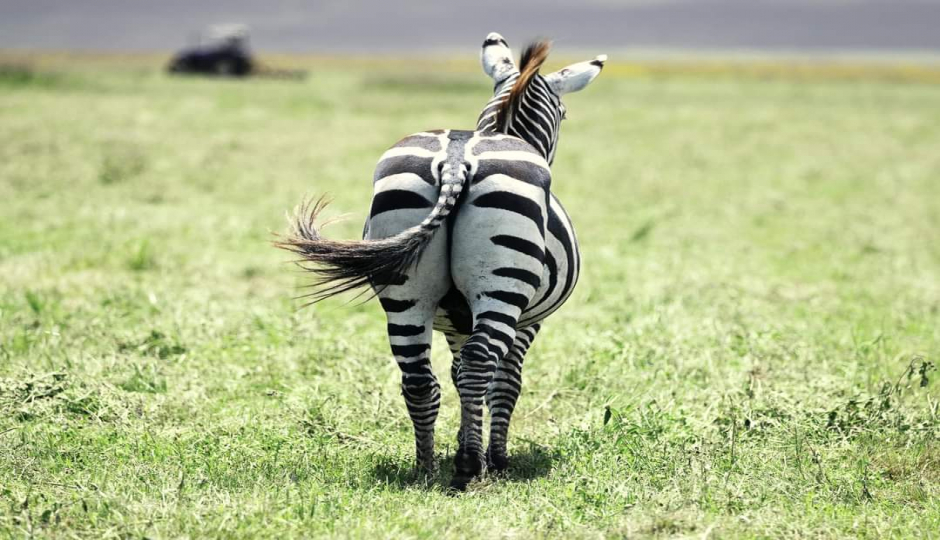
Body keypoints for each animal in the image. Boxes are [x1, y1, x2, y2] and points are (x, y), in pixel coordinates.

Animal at [276, 33, 604, 490]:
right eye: (566, 112)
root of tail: (454, 161)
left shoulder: (452, 322)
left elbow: (458, 375)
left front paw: (469, 443)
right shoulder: (529, 321)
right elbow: (504, 383)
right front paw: (494, 458)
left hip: (406, 289)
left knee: (420, 379)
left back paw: (426, 468)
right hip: (502, 286)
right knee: (481, 364)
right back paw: (467, 468)